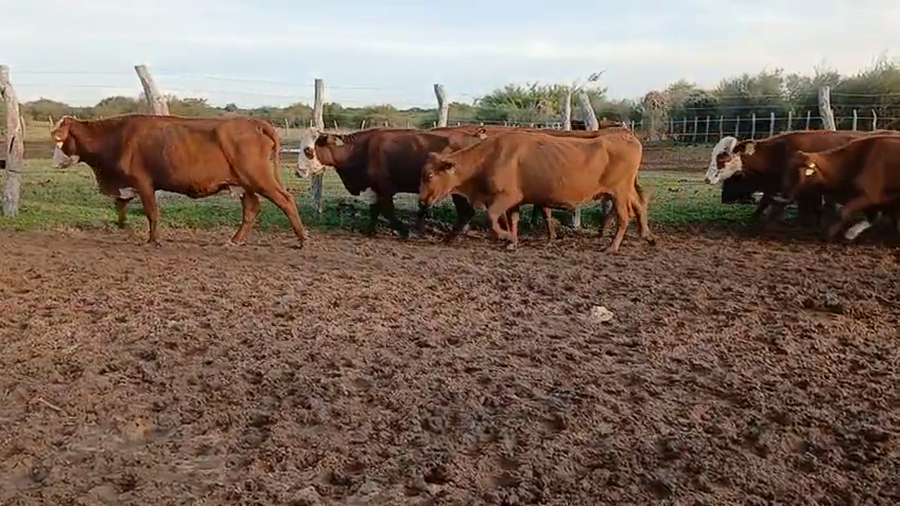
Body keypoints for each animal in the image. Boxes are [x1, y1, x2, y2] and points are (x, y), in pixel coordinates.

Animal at [50, 113, 307, 247]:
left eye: (59, 139)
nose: (55, 161)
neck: (116, 137)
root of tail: (253, 122)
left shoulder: (144, 183)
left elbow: (151, 212)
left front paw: (153, 240)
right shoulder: (127, 184)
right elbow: (121, 205)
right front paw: (125, 227)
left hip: (258, 177)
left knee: (286, 200)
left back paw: (302, 239)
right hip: (244, 184)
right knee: (252, 209)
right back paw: (234, 240)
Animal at [297, 127, 495, 241]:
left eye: (308, 150)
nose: (298, 171)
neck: (360, 150)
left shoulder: (385, 189)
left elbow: (387, 212)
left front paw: (405, 232)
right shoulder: (373, 189)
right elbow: (374, 210)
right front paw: (369, 231)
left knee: (466, 212)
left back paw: (452, 237)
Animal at [418, 128, 654, 253]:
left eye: (429, 176)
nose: (421, 201)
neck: (490, 156)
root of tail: (626, 136)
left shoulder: (506, 197)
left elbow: (492, 218)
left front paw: (506, 237)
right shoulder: (515, 202)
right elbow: (512, 220)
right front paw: (512, 241)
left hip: (619, 193)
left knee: (624, 217)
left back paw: (612, 247)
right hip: (626, 191)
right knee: (640, 206)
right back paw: (647, 236)